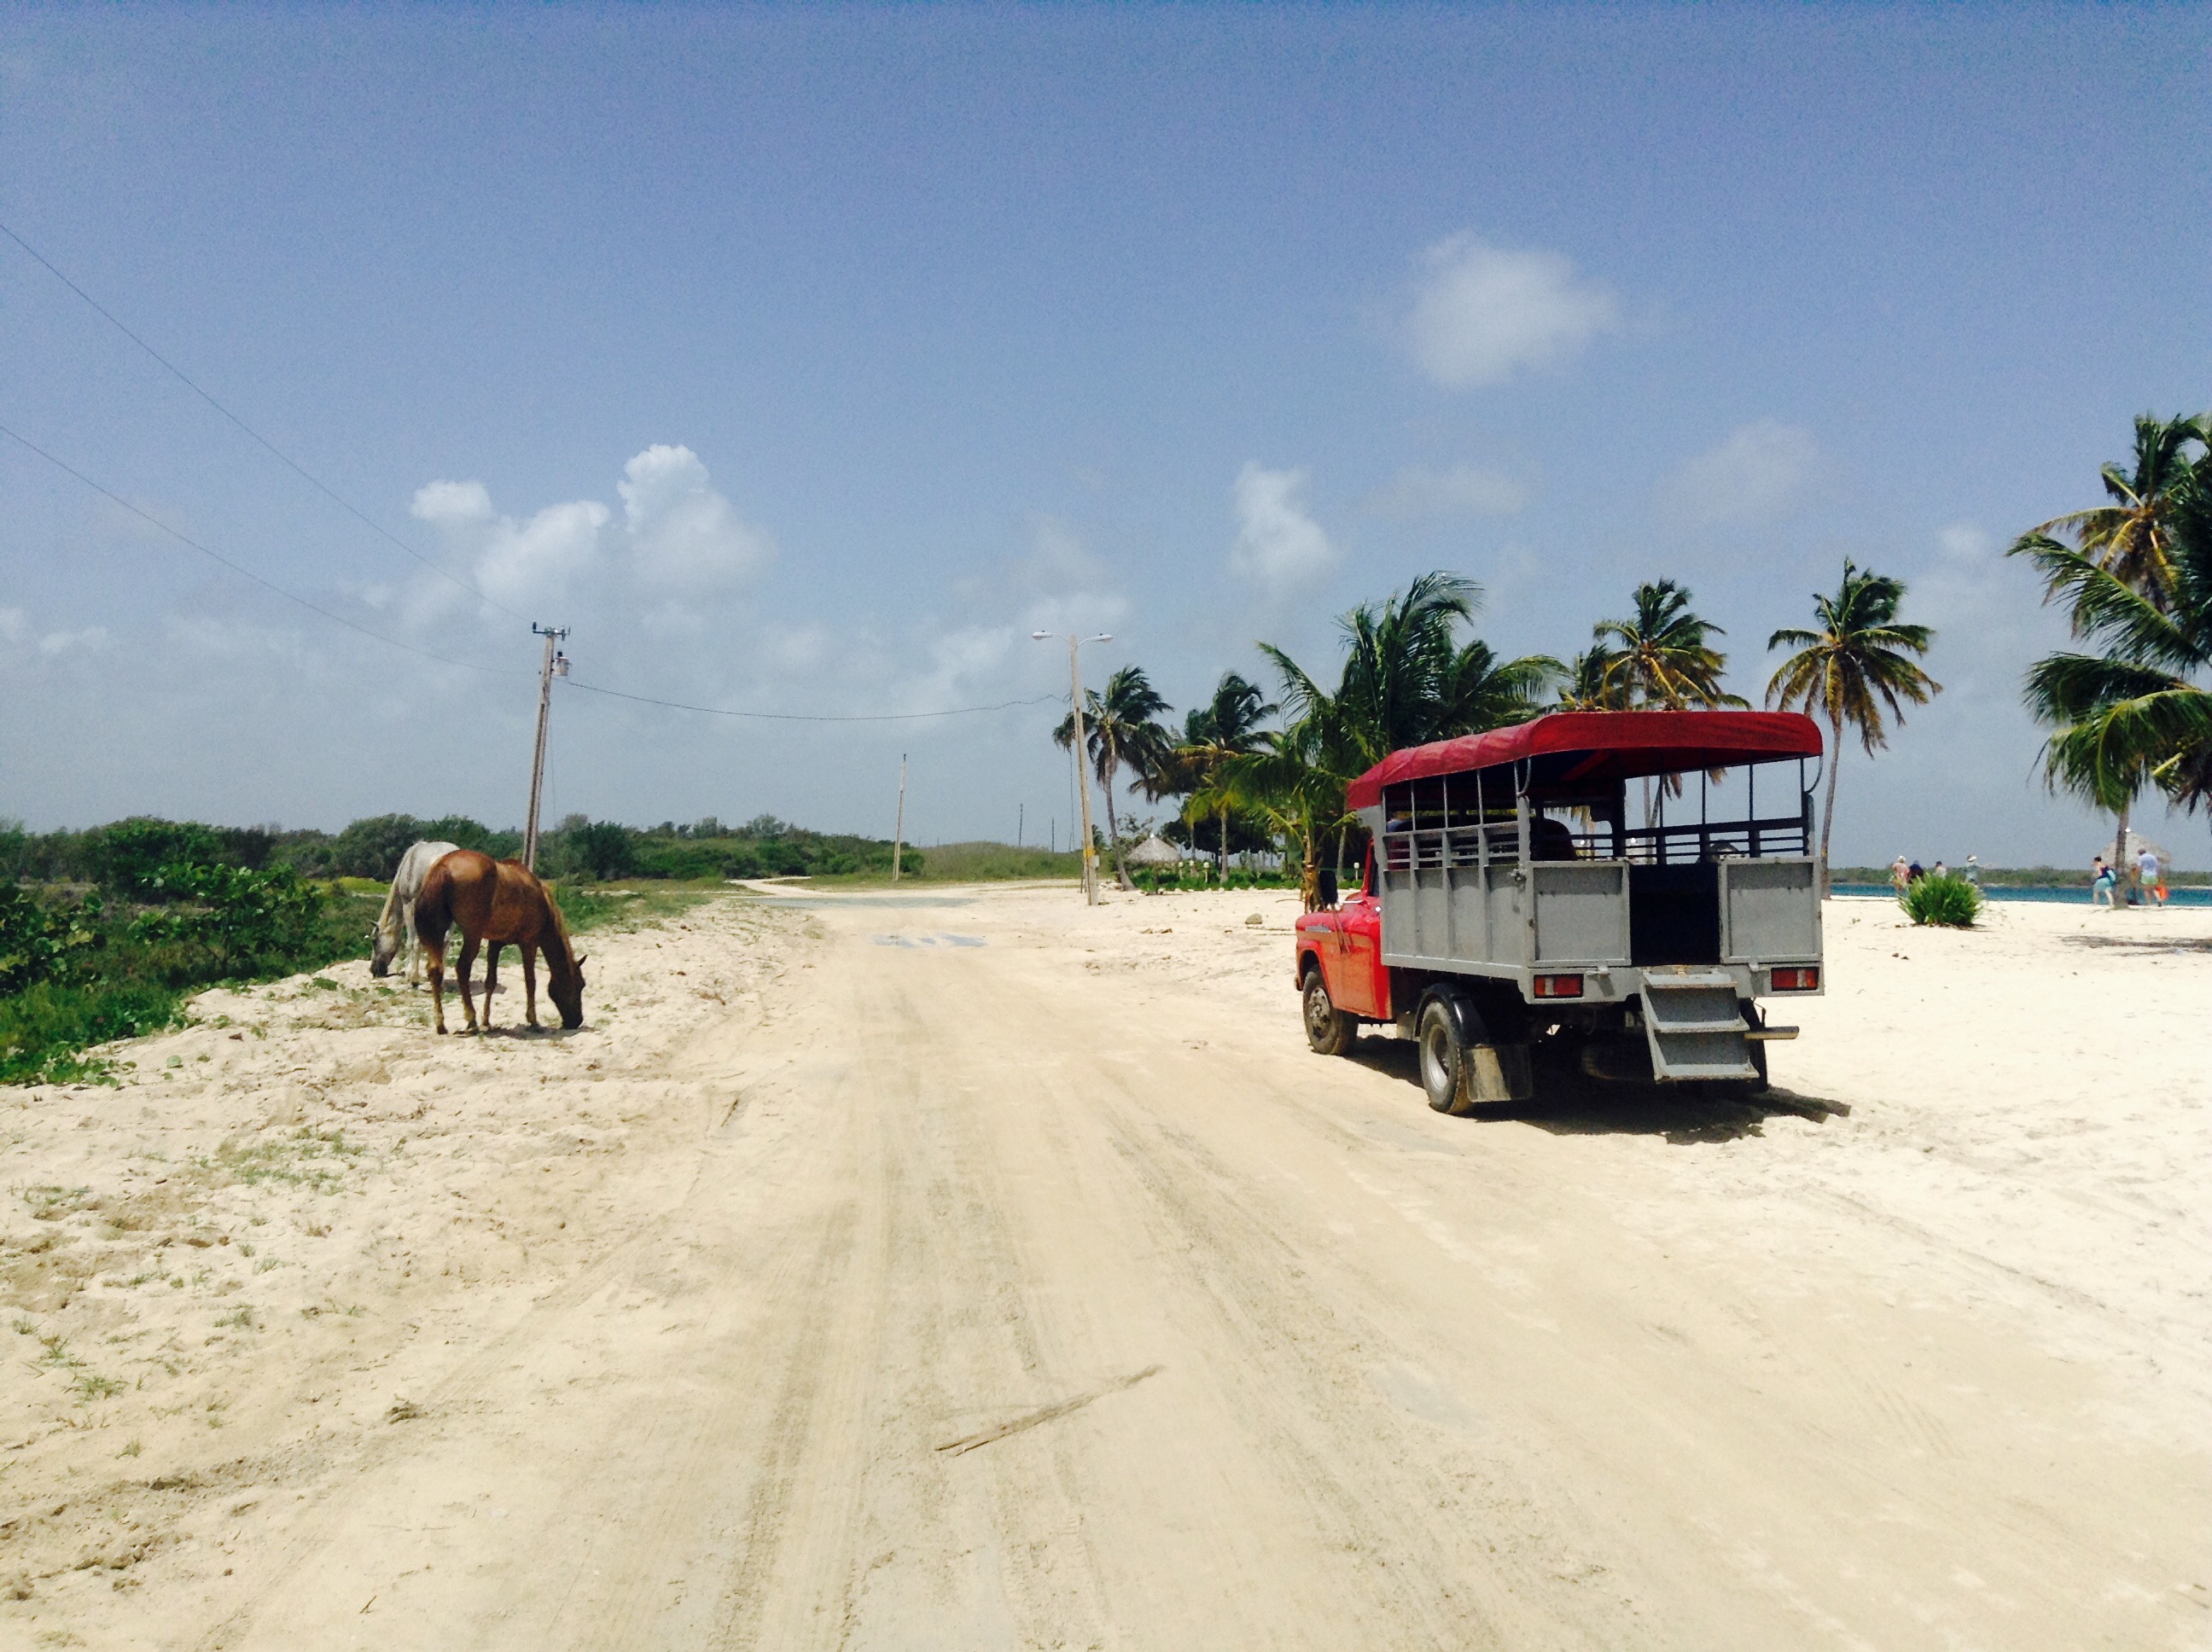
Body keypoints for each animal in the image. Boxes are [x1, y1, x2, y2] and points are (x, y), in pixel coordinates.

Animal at [370, 840, 462, 982]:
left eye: (375, 941)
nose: (374, 971)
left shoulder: (408, 904)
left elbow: (412, 941)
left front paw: (410, 975)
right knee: (446, 942)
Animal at [412, 850, 587, 1034]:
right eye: (580, 985)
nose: (576, 1021)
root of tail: (444, 865)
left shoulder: (495, 944)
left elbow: (491, 982)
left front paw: (487, 1021)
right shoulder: (529, 943)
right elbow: (530, 981)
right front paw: (533, 1020)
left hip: (436, 934)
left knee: (435, 970)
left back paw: (441, 1024)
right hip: (472, 936)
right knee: (462, 969)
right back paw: (471, 1021)